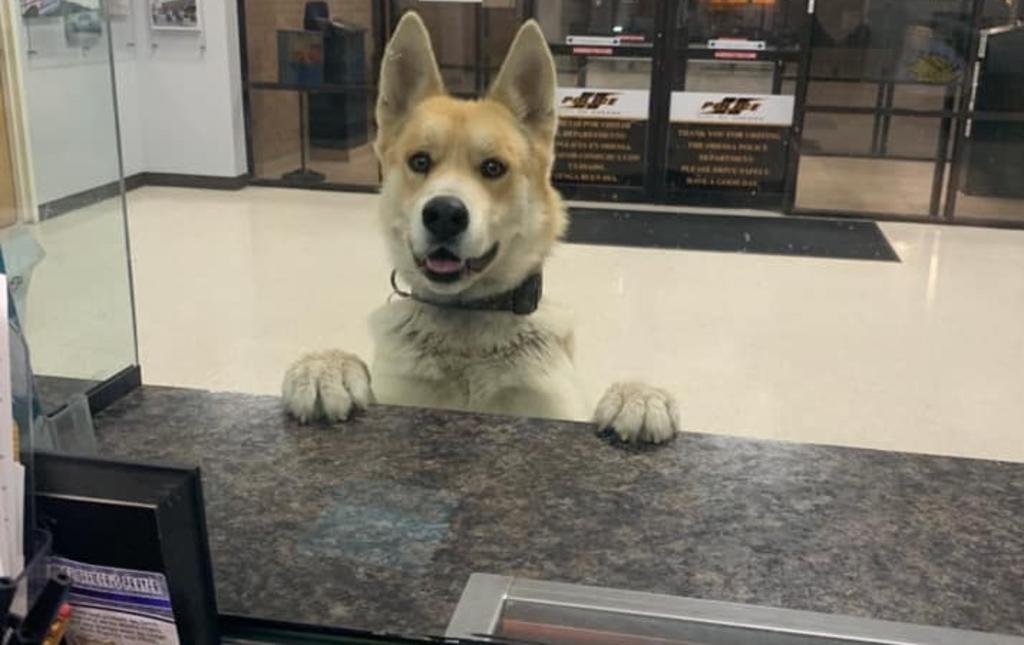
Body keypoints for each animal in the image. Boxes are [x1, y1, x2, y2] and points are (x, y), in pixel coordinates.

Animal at [281, 13, 680, 444]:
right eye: (419, 161)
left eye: (493, 168)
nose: (444, 214)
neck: (467, 319)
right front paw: (325, 366)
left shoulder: (559, 409)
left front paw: (638, 395)